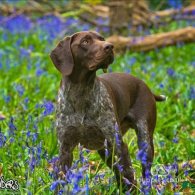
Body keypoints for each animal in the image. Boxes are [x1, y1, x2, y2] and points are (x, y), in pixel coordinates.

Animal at [50, 30, 166, 192]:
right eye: (85, 41)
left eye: (102, 39)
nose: (110, 46)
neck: (80, 93)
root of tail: (144, 85)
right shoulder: (65, 149)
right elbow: (59, 180)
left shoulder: (118, 144)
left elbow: (128, 174)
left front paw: (131, 192)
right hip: (105, 152)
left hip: (144, 142)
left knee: (144, 173)